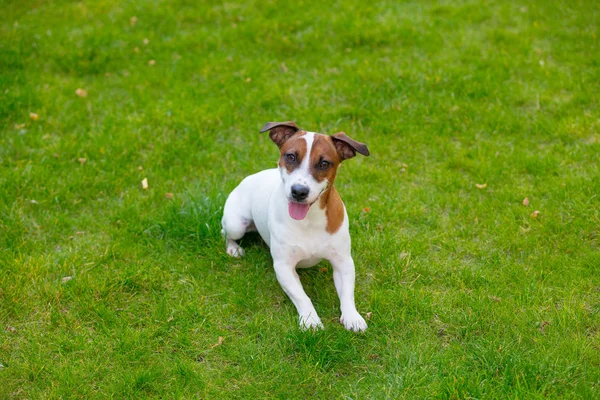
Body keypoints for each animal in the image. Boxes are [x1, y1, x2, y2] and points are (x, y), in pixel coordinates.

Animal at [221, 121, 370, 332]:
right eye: (291, 156)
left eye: (324, 163)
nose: (299, 191)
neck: (309, 219)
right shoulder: (284, 267)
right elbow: (302, 296)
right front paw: (310, 319)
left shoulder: (343, 262)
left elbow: (347, 294)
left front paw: (352, 316)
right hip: (236, 224)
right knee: (227, 233)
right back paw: (234, 249)